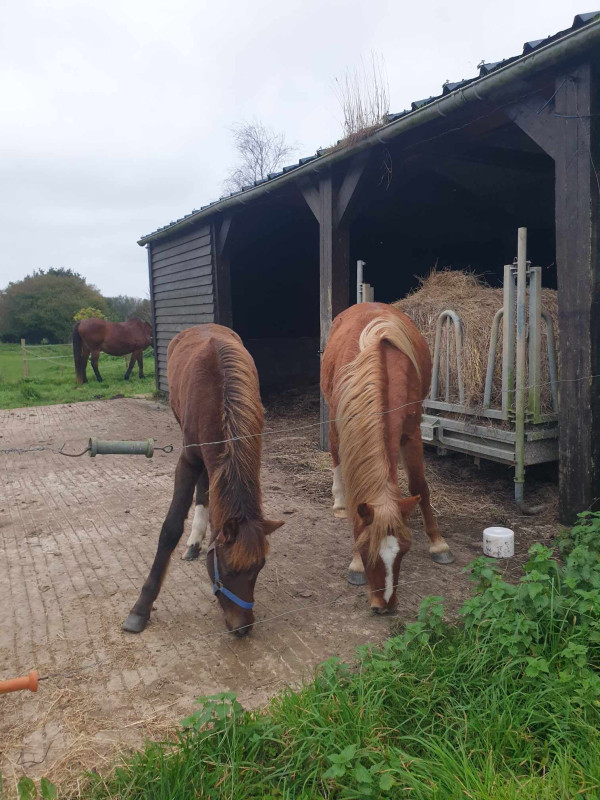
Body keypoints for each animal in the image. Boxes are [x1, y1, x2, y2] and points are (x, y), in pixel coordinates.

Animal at [123, 324, 283, 637]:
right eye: (229, 569)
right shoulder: (188, 462)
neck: (218, 396)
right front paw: (141, 608)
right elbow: (170, 529)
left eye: (259, 568)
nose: (242, 628)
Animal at [321, 302, 454, 614]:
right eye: (364, 548)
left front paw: (438, 543)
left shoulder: (412, 433)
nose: (385, 605)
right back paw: (339, 503)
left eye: (404, 551)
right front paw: (355, 565)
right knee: (335, 454)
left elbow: (419, 486)